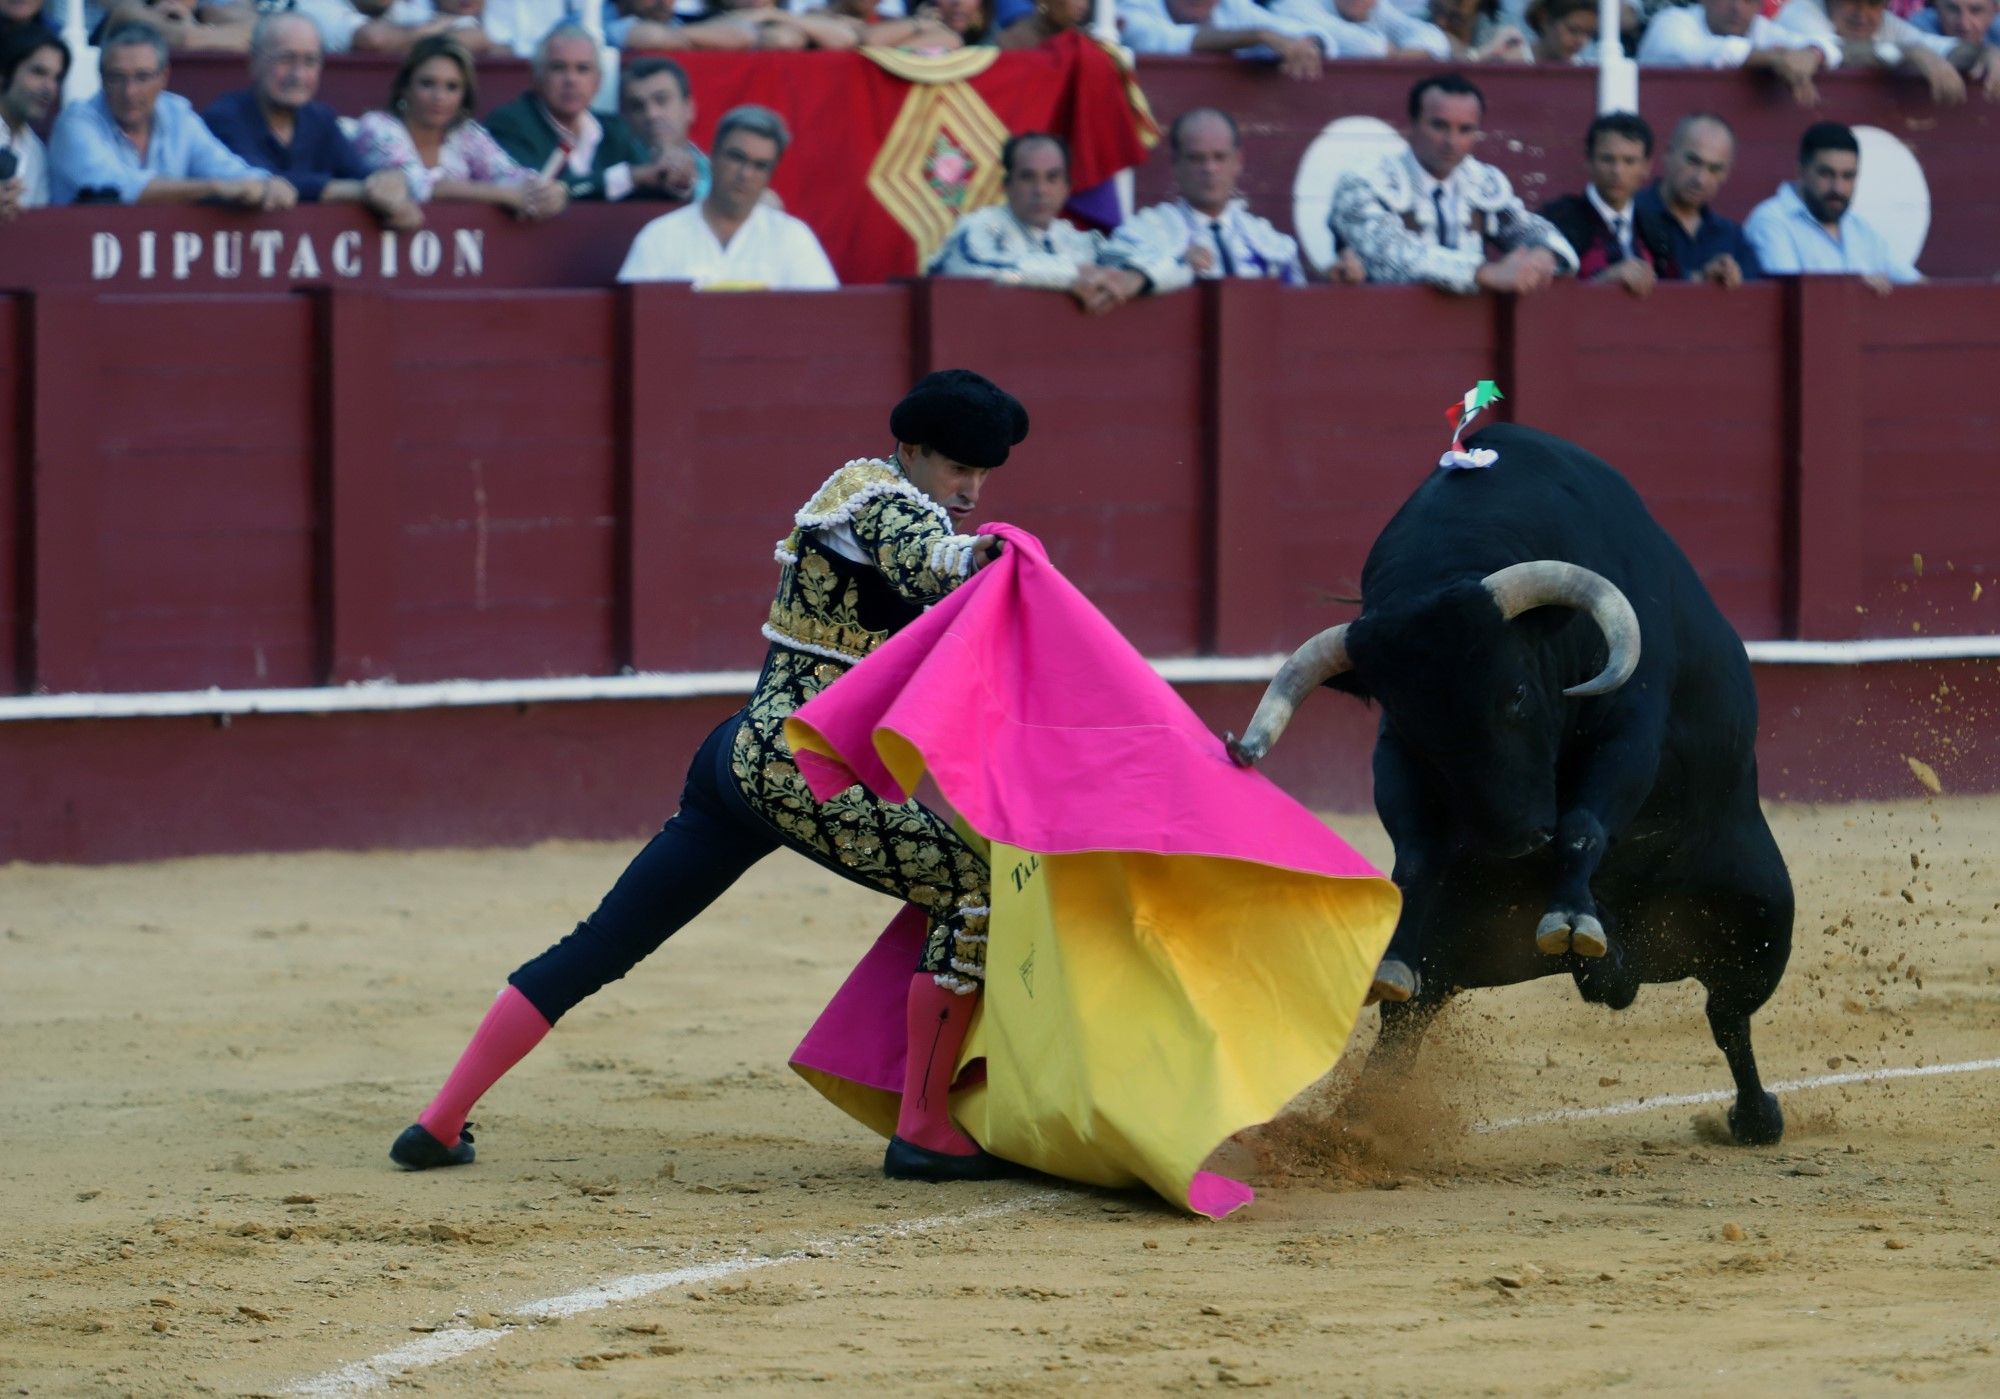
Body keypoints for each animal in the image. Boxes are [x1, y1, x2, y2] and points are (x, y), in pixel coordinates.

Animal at [1232, 421, 1800, 1143]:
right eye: (1419, 725)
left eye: (1519, 694)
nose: (1512, 841)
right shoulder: (1396, 753)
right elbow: (1416, 856)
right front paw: (1393, 954)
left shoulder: (1630, 725)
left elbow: (1583, 822)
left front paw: (1570, 916)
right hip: (1456, 947)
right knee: (1406, 1020)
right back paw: (1361, 1116)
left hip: (1763, 920)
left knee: (1728, 1017)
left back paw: (1754, 1114)